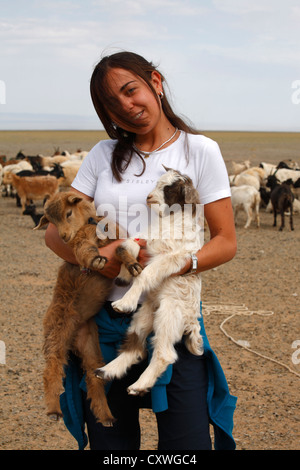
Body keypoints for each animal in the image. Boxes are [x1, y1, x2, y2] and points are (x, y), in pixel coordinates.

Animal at [35, 191, 142, 426]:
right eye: (52, 222)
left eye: (68, 213)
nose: (64, 236)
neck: (93, 224)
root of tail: (74, 334)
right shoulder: (81, 240)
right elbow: (85, 250)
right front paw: (97, 260)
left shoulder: (117, 236)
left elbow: (121, 248)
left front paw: (132, 265)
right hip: (56, 331)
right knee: (52, 367)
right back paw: (54, 410)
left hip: (90, 344)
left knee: (93, 377)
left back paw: (106, 416)